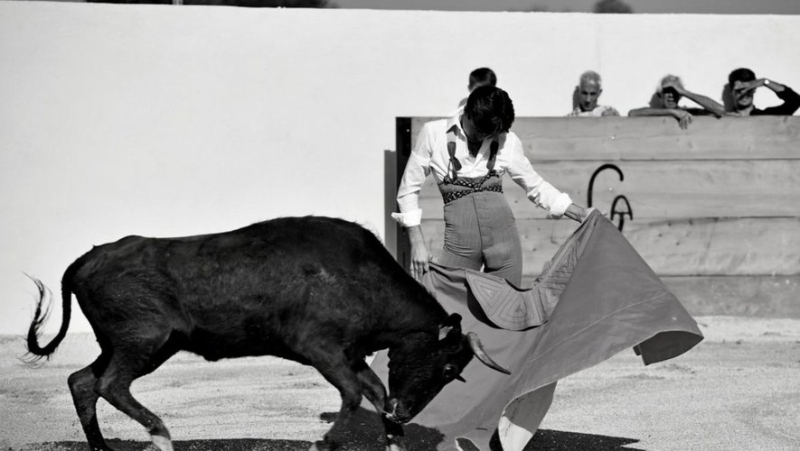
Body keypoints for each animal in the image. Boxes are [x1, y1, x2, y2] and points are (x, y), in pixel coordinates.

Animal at [29, 217, 512, 450]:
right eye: (448, 368)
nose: (406, 412)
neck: (362, 277)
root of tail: (86, 259)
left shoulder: (351, 355)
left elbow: (373, 393)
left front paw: (393, 438)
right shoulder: (321, 350)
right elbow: (354, 396)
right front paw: (325, 443)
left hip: (132, 345)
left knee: (83, 382)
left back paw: (104, 449)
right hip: (144, 341)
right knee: (109, 384)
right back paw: (162, 436)